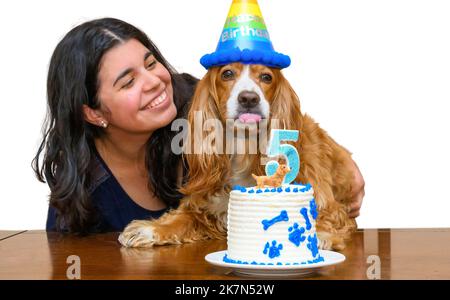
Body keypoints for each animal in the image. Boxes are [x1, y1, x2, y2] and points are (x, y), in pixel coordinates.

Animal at [118, 62, 356, 251]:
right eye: (227, 73)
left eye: (266, 77)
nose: (249, 98)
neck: (245, 149)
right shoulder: (207, 207)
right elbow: (180, 219)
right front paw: (149, 229)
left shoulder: (332, 209)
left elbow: (321, 218)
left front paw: (319, 236)